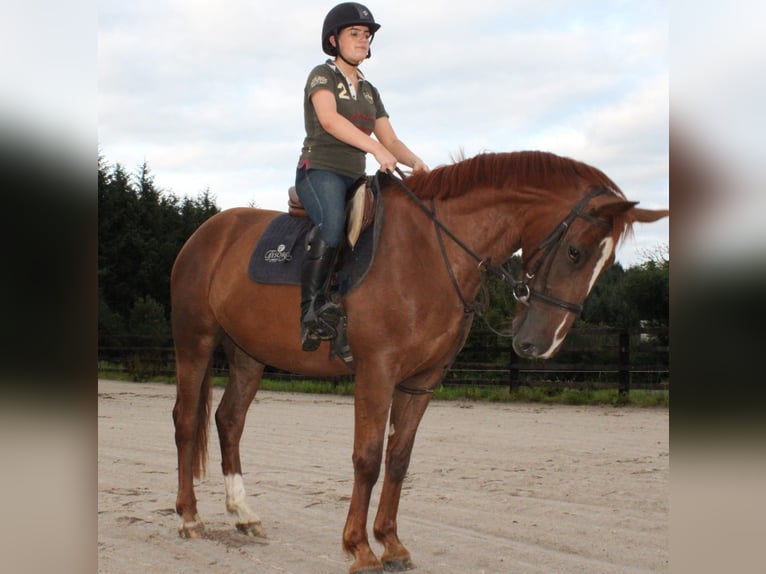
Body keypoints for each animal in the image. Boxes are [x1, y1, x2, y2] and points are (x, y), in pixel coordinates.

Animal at [171, 151, 668, 572]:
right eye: (575, 252)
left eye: (605, 264)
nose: (541, 344)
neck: (428, 250)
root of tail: (208, 232)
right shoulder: (377, 372)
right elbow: (368, 458)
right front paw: (359, 547)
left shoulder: (422, 380)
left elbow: (399, 458)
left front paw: (391, 543)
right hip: (195, 342)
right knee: (186, 421)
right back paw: (190, 517)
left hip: (247, 355)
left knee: (229, 421)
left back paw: (243, 513)